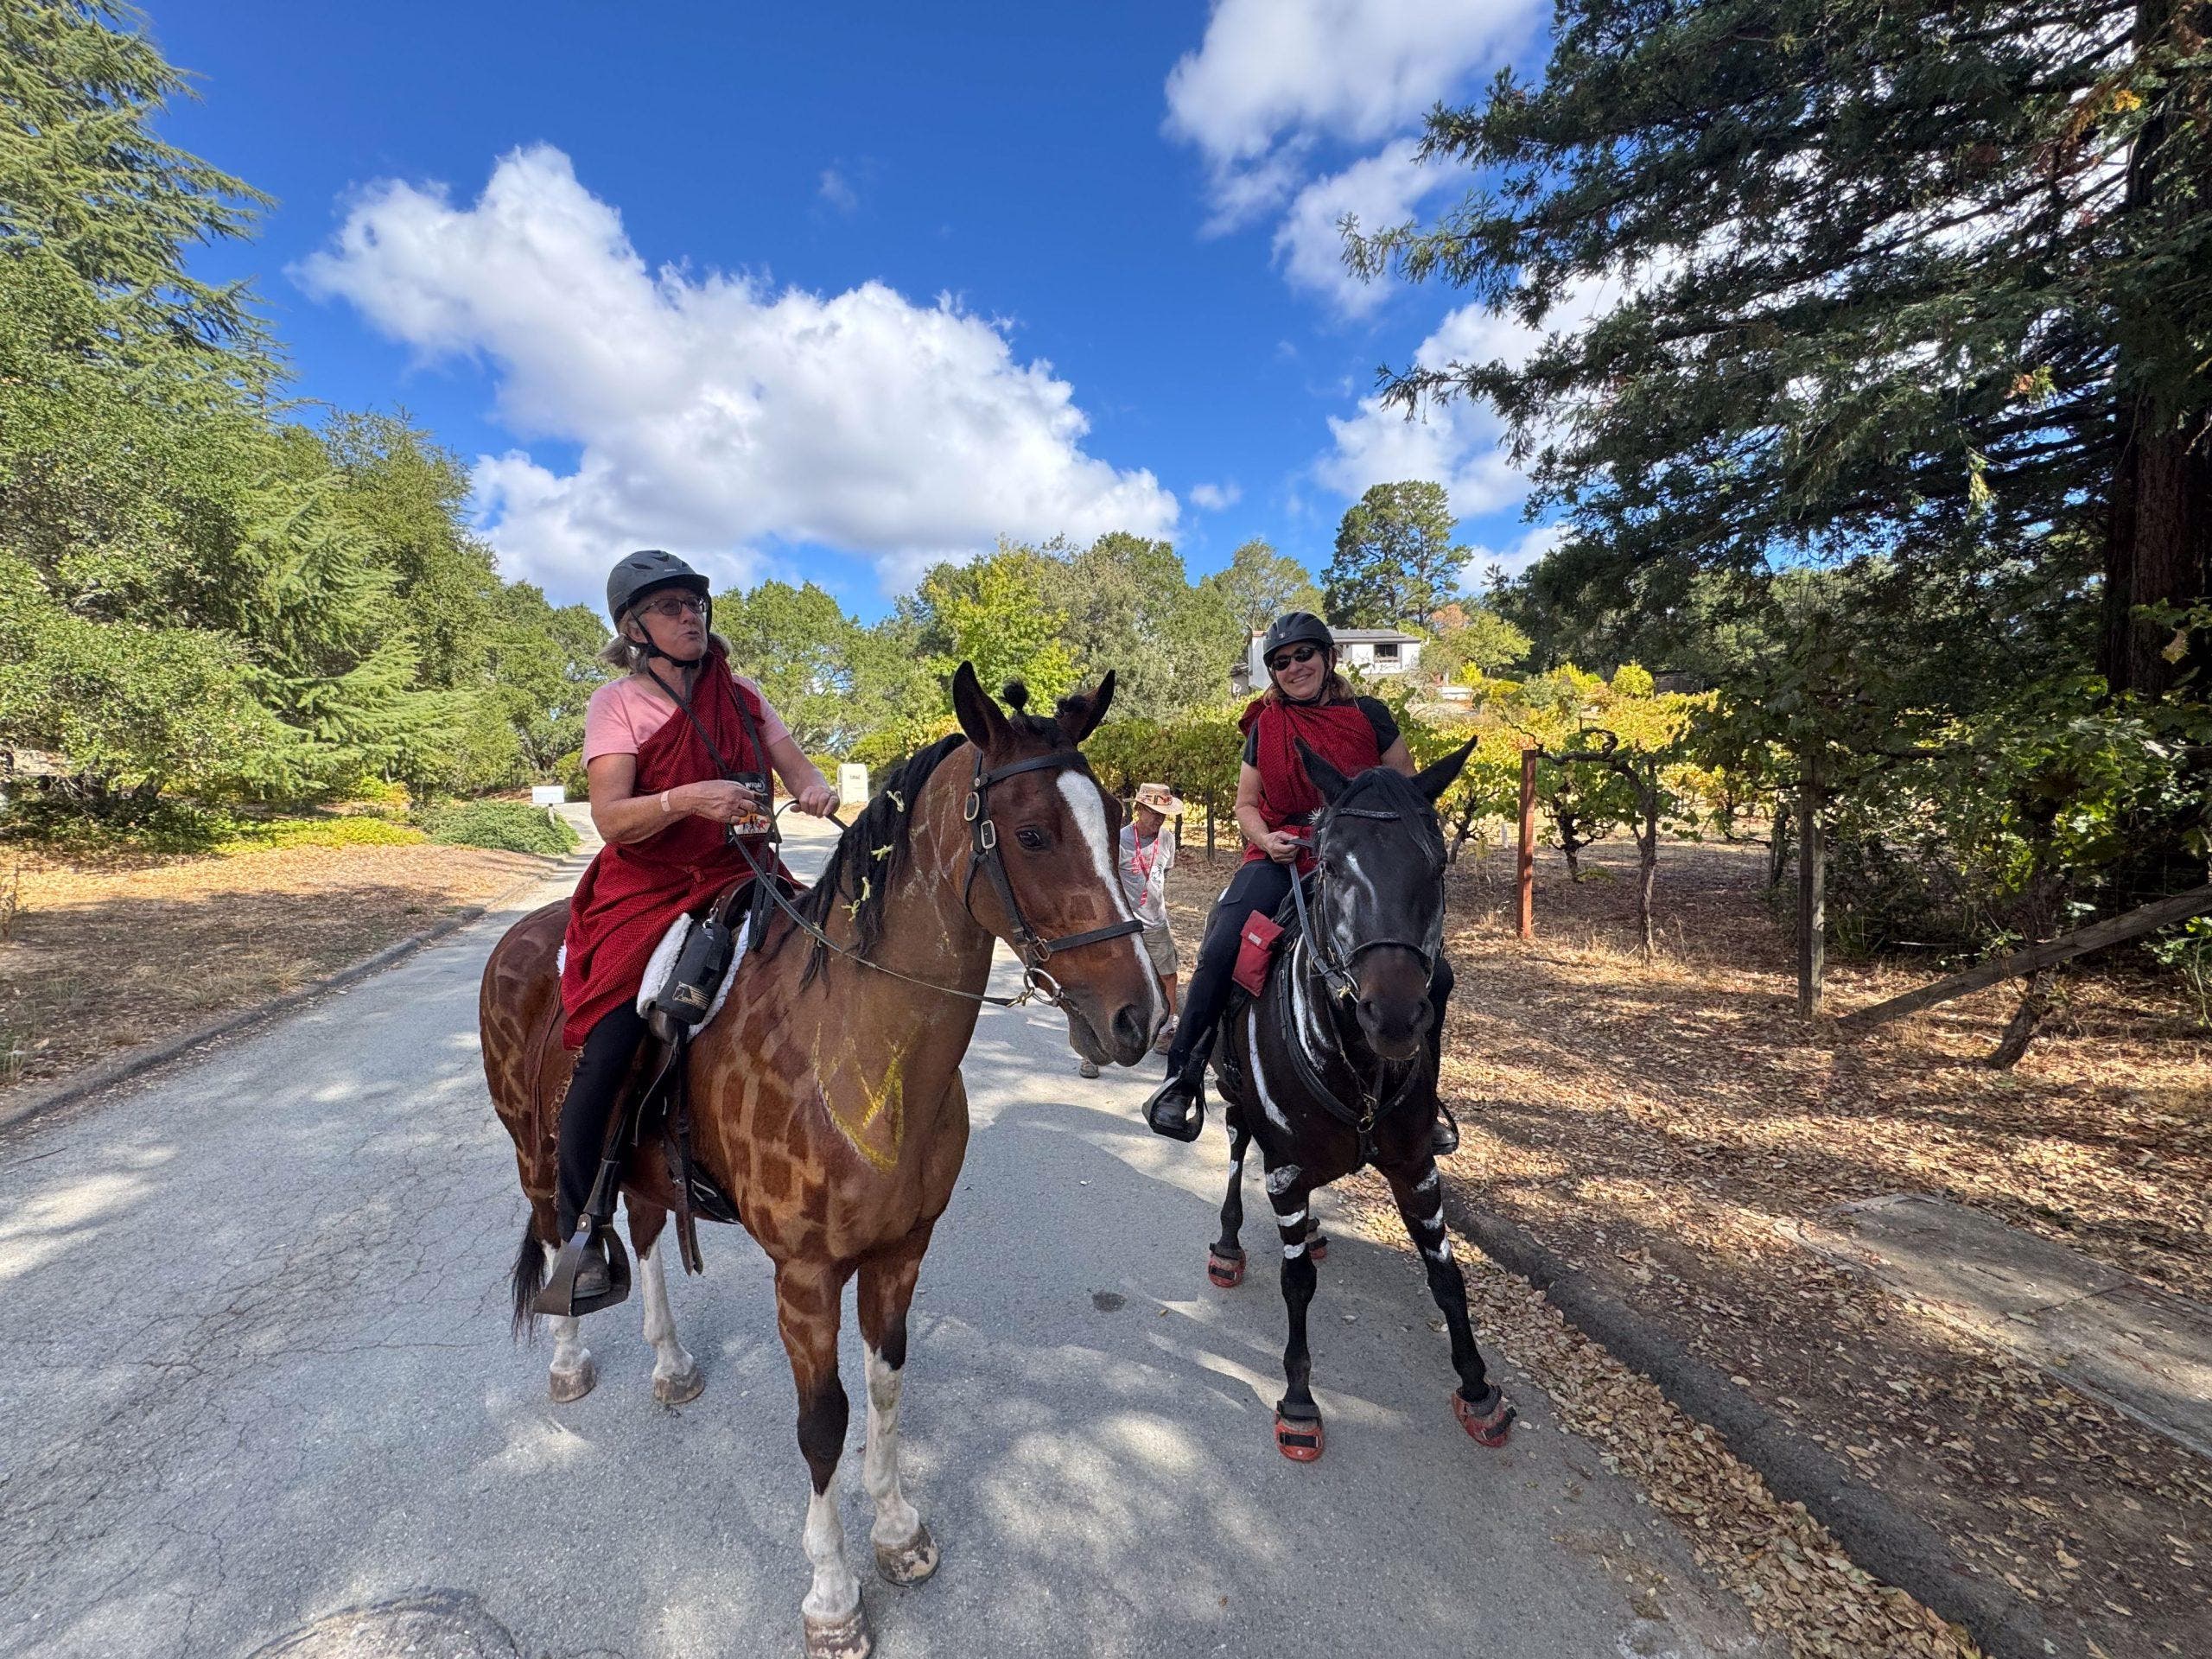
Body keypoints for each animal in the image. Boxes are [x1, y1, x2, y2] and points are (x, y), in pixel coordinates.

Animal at [479, 663, 1162, 1659]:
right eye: (1034, 833)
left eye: (1116, 822)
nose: (1139, 1016)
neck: (860, 1049)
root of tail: (522, 936)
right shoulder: (804, 1278)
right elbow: (822, 1423)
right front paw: (833, 1594)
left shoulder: (902, 1251)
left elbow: (885, 1388)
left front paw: (897, 1531)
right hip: (534, 1150)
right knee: (556, 1224)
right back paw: (568, 1356)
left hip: (644, 1168)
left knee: (644, 1233)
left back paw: (670, 1362)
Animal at [1202, 737, 1516, 1462]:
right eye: (1332, 864)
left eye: (1437, 863)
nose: (1395, 1015)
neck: (1360, 1064)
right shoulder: (1286, 1171)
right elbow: (1296, 1286)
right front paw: (1298, 1402)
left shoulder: (1416, 1166)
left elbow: (1446, 1274)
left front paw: (1478, 1389)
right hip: (1233, 1099)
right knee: (1234, 1147)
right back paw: (1228, 1244)